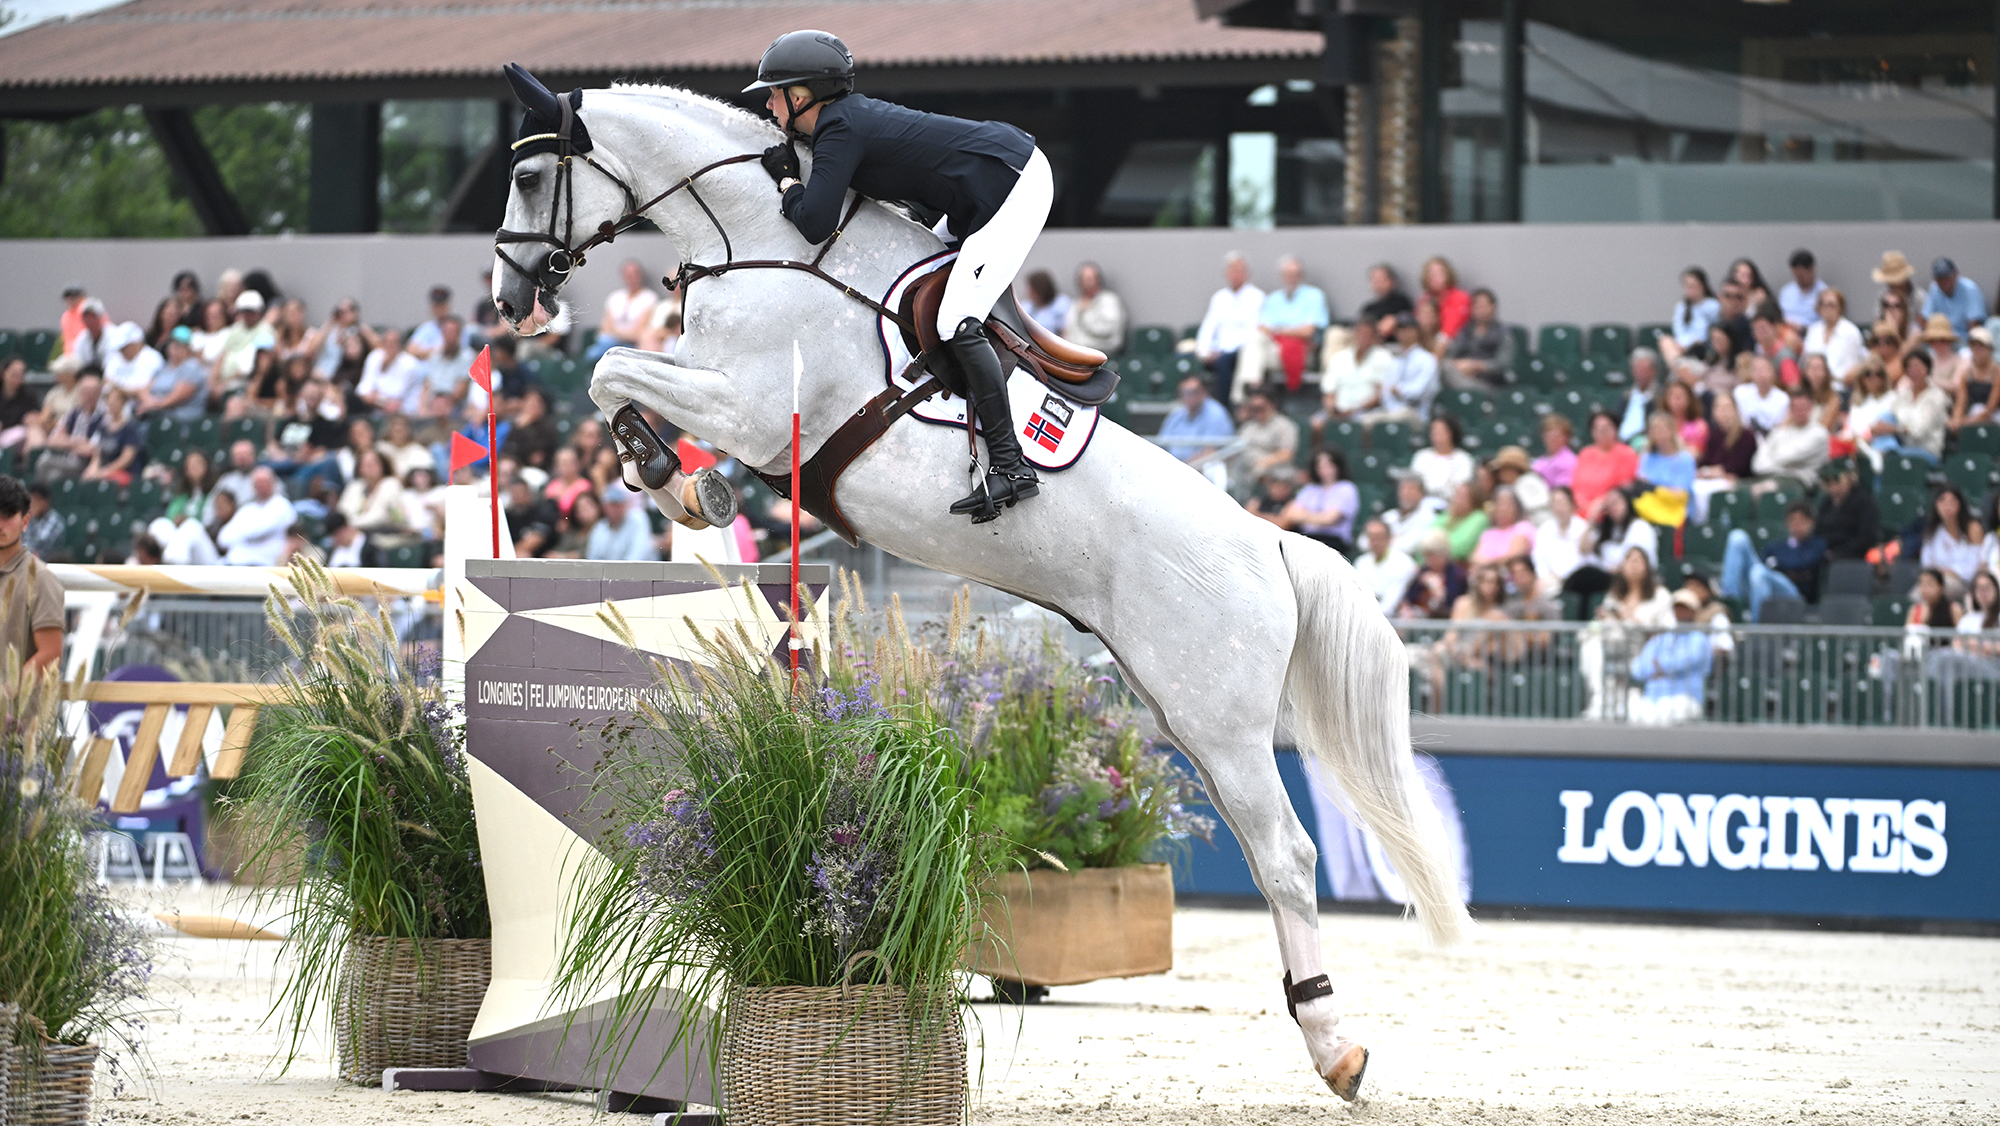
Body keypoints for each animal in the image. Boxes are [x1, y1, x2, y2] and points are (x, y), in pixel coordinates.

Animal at [488, 70, 1471, 1100]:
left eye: (526, 177)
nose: (512, 300)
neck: (759, 237)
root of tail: (1271, 542)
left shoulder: (751, 409)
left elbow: (609, 368)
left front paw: (672, 476)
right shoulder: (726, 396)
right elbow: (620, 376)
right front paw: (682, 482)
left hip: (1223, 724)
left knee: (1284, 852)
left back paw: (1335, 1045)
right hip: (1187, 714)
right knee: (1262, 846)